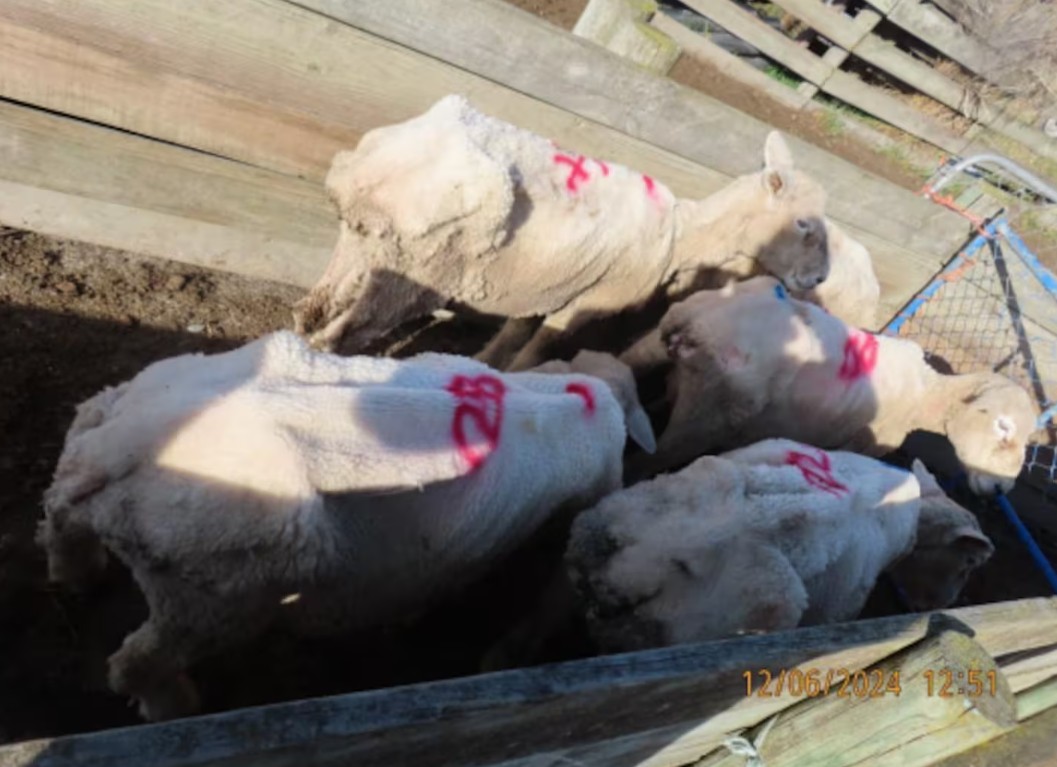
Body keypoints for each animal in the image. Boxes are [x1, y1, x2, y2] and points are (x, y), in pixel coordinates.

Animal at [36, 331, 655, 721]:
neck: (577, 398)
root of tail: (127, 440)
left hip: (105, 430)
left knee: (59, 520)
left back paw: (75, 576)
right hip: (212, 597)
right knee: (136, 664)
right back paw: (176, 706)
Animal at [292, 94, 830, 371]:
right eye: (803, 224)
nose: (820, 279)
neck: (681, 236)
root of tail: (390, 158)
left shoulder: (553, 284)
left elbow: (510, 338)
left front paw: (485, 367)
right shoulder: (587, 301)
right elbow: (539, 347)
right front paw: (517, 380)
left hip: (367, 238)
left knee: (311, 309)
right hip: (420, 270)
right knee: (342, 335)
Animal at [631, 276, 1039, 494]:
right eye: (1003, 426)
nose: (1000, 490)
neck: (925, 395)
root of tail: (702, 323)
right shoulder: (864, 444)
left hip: (656, 345)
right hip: (709, 411)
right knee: (648, 461)